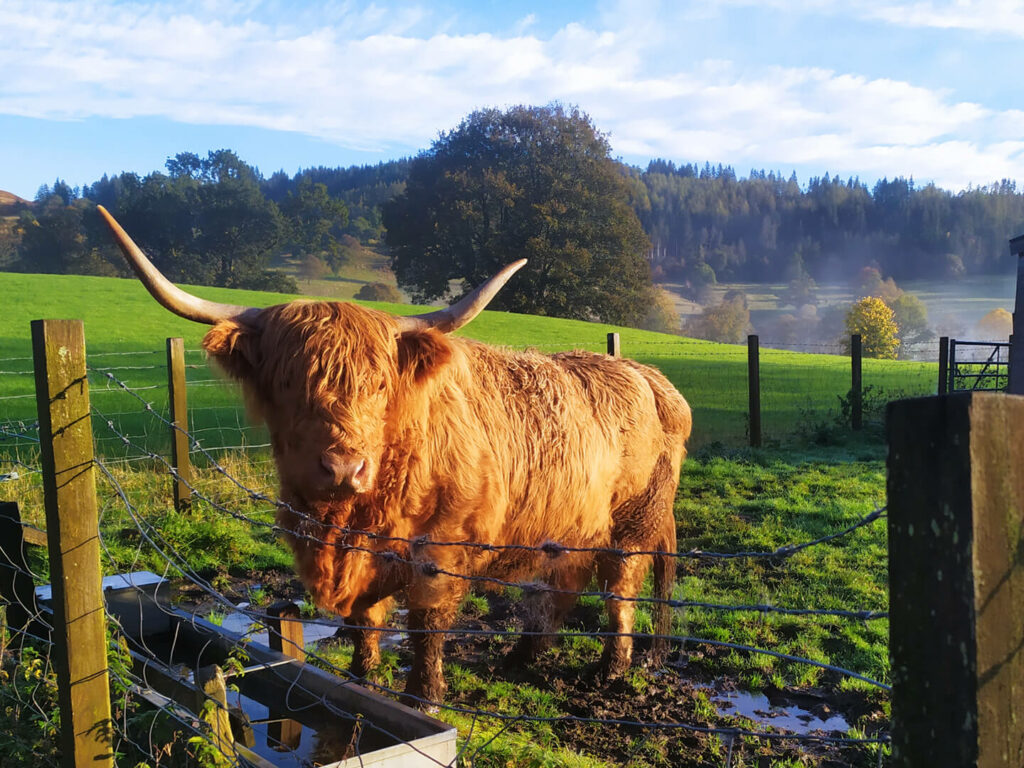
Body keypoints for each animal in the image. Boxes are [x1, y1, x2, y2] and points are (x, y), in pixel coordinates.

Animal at [99, 205, 692, 708]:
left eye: (380, 384)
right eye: (289, 383)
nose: (344, 468)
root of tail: (649, 377)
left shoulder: (443, 547)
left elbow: (425, 623)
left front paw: (423, 696)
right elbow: (366, 616)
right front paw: (363, 676)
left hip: (633, 523)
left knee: (620, 592)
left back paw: (611, 671)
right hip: (566, 527)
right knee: (557, 589)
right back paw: (521, 658)